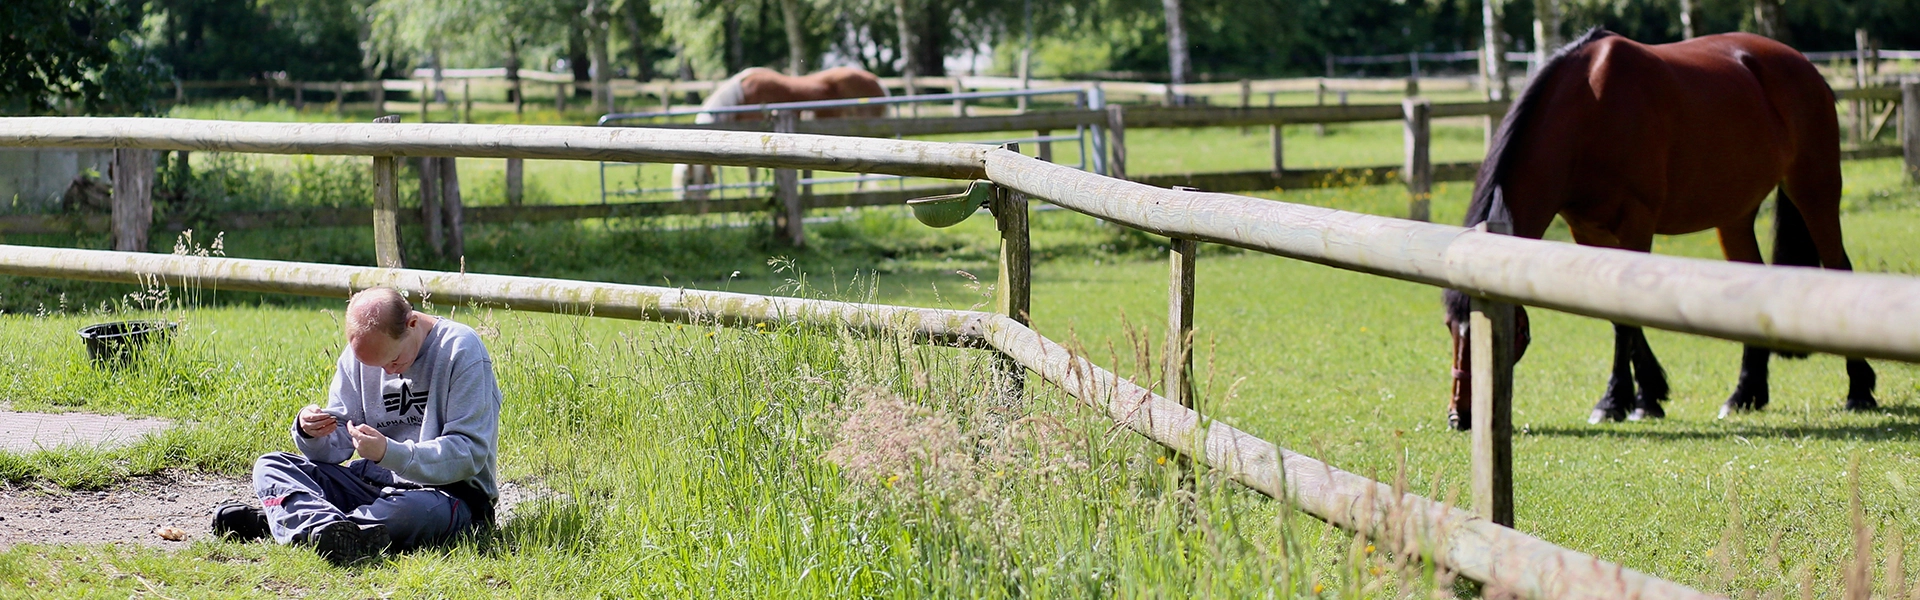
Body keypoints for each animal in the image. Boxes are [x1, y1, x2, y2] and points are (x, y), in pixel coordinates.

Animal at [1440, 29, 1877, 430]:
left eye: (1506, 333)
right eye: (1449, 327)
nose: (1460, 416)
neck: (1590, 109)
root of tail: (1804, 66)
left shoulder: (1636, 223)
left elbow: (1624, 309)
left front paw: (1621, 401)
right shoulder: (1588, 232)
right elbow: (1615, 315)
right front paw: (1643, 394)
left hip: (1814, 190)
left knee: (1839, 266)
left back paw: (1859, 389)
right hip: (1734, 215)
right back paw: (1744, 394)